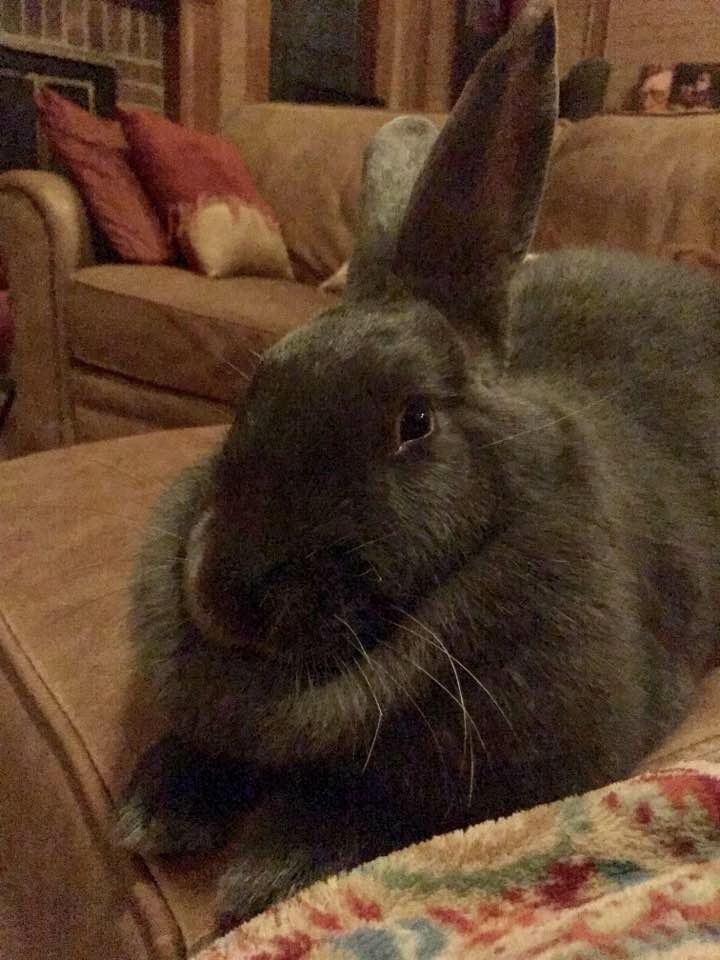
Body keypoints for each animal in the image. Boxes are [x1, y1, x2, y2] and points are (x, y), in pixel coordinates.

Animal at [118, 0, 720, 937]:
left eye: (415, 422)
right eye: (255, 389)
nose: (228, 597)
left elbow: (382, 811)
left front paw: (262, 873)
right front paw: (156, 807)